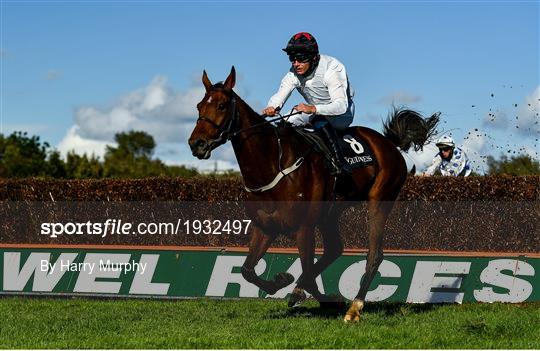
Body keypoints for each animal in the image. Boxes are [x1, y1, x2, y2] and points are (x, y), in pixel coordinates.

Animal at [190, 67, 438, 324]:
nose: (196, 144)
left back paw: (354, 307)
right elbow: (248, 270)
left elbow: (307, 272)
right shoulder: (265, 227)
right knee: (334, 249)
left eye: (221, 105)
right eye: (199, 106)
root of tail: (387, 143)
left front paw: (305, 290)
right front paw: (286, 284)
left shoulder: (304, 228)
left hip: (379, 201)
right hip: (331, 213)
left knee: (374, 255)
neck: (273, 164)